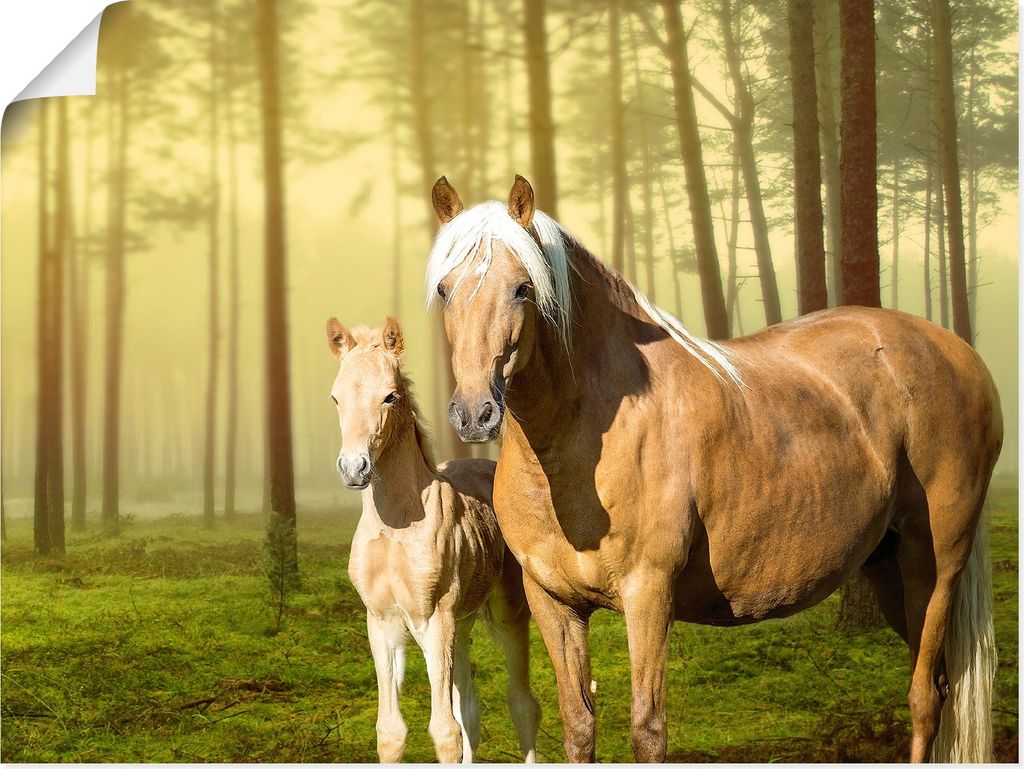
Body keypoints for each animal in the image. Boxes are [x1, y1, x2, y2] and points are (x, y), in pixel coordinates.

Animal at [326, 316, 540, 763]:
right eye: (336, 397)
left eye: (390, 396)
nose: (354, 468)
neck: (395, 526)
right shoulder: (382, 622)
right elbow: (391, 732)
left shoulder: (434, 619)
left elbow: (444, 731)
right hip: (463, 620)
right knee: (470, 708)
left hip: (507, 612)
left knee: (522, 705)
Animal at [423, 175, 1002, 763]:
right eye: (445, 290)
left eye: (522, 288)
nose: (475, 413)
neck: (572, 455)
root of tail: (957, 351)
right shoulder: (554, 603)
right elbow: (578, 726)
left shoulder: (648, 594)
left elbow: (648, 730)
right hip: (888, 566)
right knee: (938, 683)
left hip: (935, 563)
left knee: (925, 698)